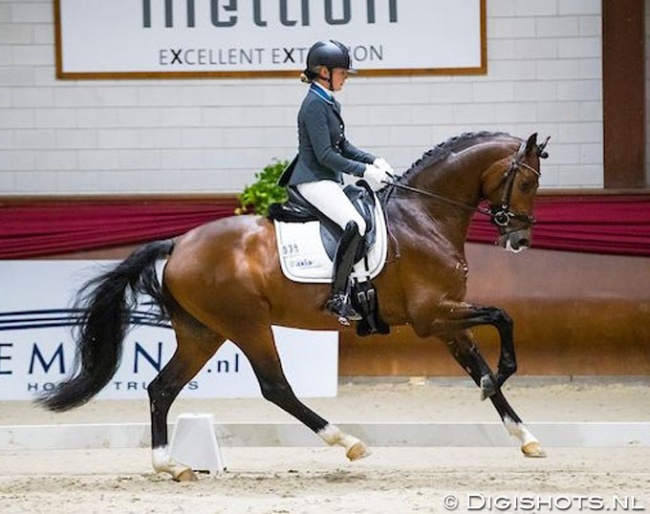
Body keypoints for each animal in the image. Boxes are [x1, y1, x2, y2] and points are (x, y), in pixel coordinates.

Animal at [38, 130, 548, 478]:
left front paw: (526, 437)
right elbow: (503, 318)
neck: (424, 218)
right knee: (275, 388)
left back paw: (172, 466)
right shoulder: (431, 315)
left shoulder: (446, 318)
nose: (519, 240)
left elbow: (479, 365)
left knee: (162, 389)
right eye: (525, 183)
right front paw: (500, 378)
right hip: (246, 326)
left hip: (203, 332)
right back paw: (347, 442)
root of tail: (179, 244)